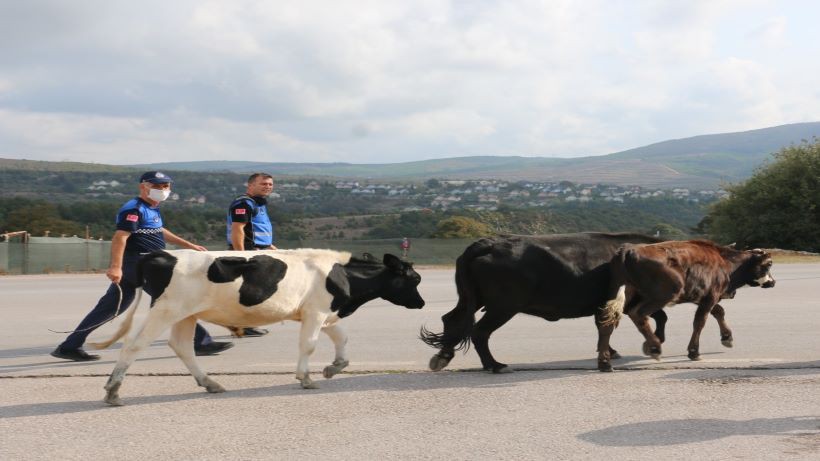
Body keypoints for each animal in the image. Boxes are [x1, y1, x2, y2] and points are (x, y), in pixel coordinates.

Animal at [97, 250, 426, 404]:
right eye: (414, 279)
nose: (422, 303)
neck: (343, 277)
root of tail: (161, 254)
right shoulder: (316, 311)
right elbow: (309, 345)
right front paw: (306, 378)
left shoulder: (325, 313)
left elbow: (342, 340)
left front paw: (333, 368)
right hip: (166, 310)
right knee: (134, 345)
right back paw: (113, 391)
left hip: (185, 314)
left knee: (181, 347)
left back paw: (210, 383)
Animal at [600, 239, 772, 362]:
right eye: (768, 264)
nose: (773, 282)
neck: (724, 261)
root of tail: (629, 249)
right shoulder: (710, 297)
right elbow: (700, 322)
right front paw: (694, 352)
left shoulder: (701, 297)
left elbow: (719, 311)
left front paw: (727, 337)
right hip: (664, 294)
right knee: (638, 314)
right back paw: (654, 347)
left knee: (607, 319)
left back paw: (606, 360)